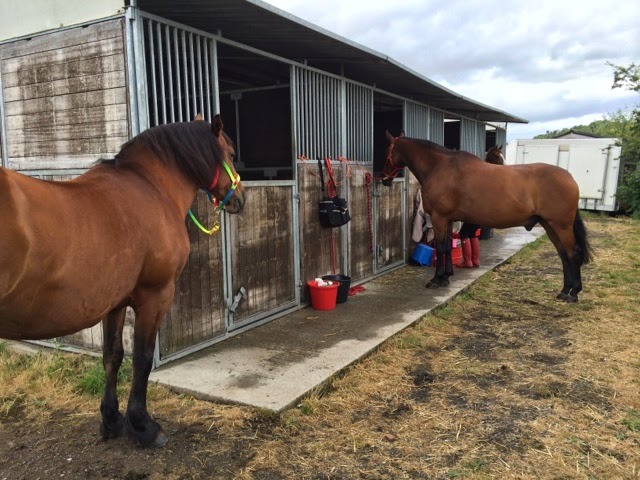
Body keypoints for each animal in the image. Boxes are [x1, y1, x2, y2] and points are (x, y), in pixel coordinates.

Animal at [0, 115, 245, 448]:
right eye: (231, 154)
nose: (241, 199)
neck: (152, 186)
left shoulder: (114, 302)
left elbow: (112, 356)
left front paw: (112, 419)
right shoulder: (155, 296)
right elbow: (142, 358)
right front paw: (143, 426)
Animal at [382, 132, 592, 302]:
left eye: (386, 151)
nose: (384, 179)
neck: (439, 167)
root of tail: (570, 178)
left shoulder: (439, 218)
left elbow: (440, 248)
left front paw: (436, 279)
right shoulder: (447, 220)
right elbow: (448, 247)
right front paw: (447, 276)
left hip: (561, 226)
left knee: (573, 253)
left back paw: (573, 293)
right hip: (549, 225)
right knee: (563, 254)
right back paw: (565, 290)